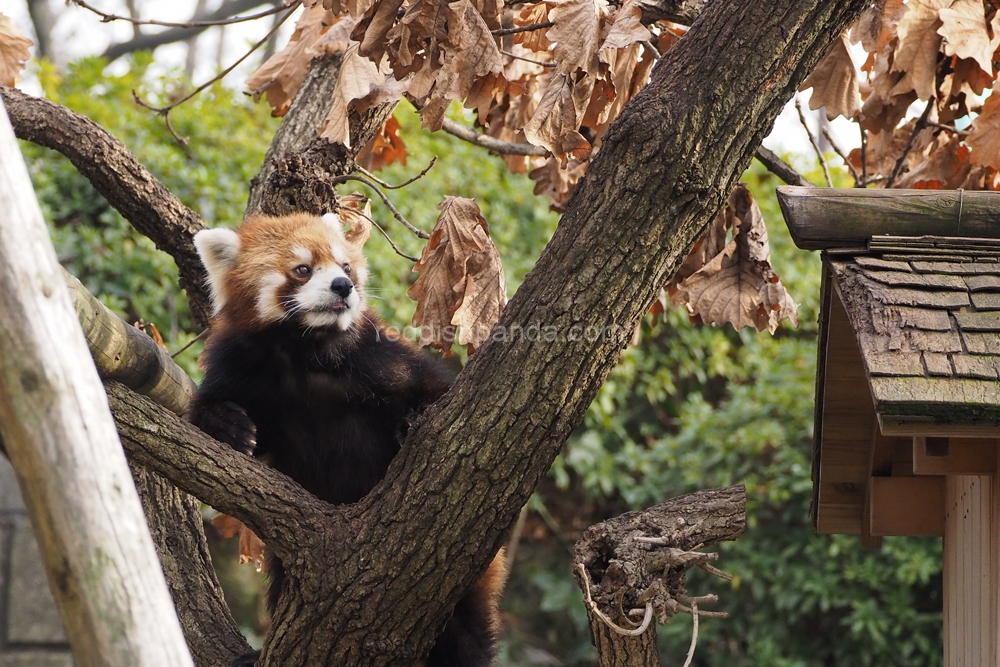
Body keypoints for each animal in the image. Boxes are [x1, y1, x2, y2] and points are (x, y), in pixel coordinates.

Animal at [190, 213, 508, 667]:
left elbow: (434, 389)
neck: (302, 352)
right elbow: (202, 409)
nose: (343, 286)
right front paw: (229, 425)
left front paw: (414, 419)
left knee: (467, 636)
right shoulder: (238, 363)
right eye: (302, 269)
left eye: (345, 266)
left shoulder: (378, 357)